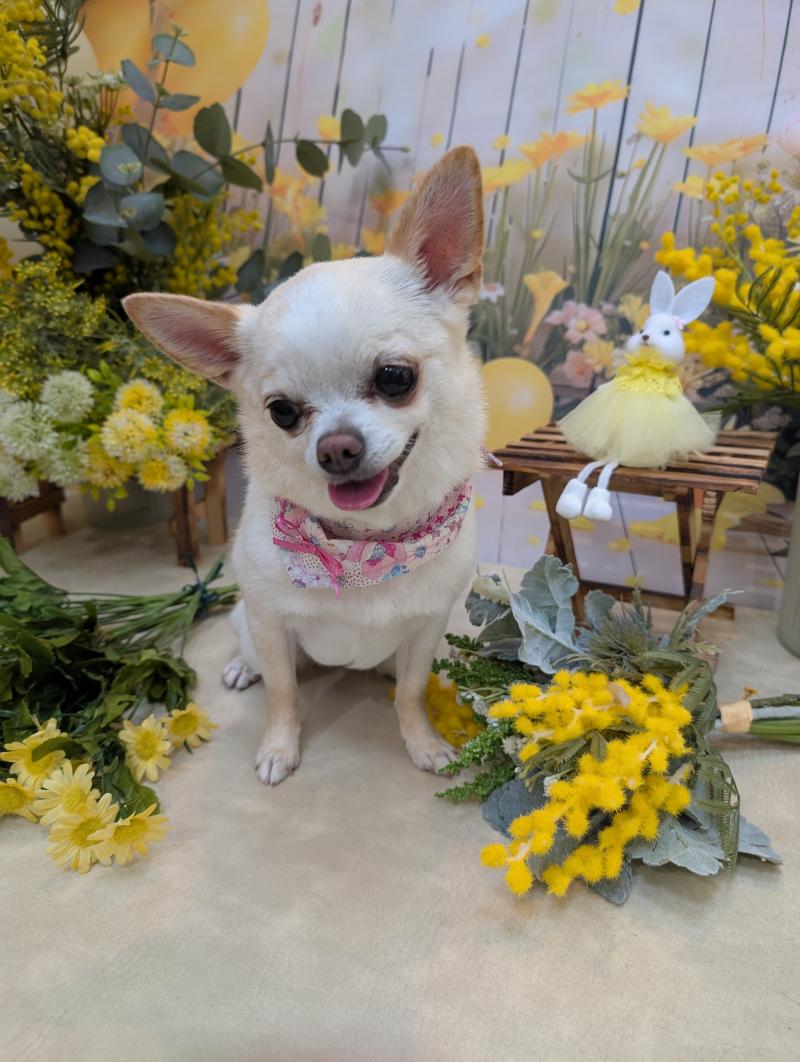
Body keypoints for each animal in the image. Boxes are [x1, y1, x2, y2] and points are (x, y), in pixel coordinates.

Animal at [124, 146, 486, 785]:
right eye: (283, 412)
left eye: (396, 377)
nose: (336, 448)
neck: (362, 549)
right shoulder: (270, 623)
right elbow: (283, 692)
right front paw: (278, 749)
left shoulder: (426, 628)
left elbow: (411, 692)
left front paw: (422, 744)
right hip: (248, 622)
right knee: (255, 657)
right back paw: (242, 669)